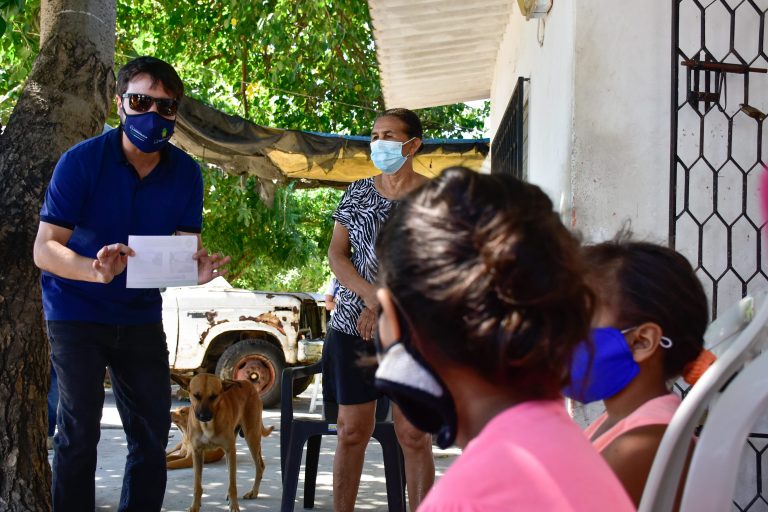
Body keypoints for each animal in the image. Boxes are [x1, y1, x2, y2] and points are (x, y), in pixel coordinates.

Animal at [170, 372, 272, 512]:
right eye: (196, 396)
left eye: (214, 396)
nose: (204, 416)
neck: (207, 426)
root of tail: (247, 383)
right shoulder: (197, 453)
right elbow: (197, 485)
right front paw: (195, 506)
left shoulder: (230, 450)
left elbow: (233, 484)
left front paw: (234, 506)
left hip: (252, 437)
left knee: (259, 466)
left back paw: (253, 492)